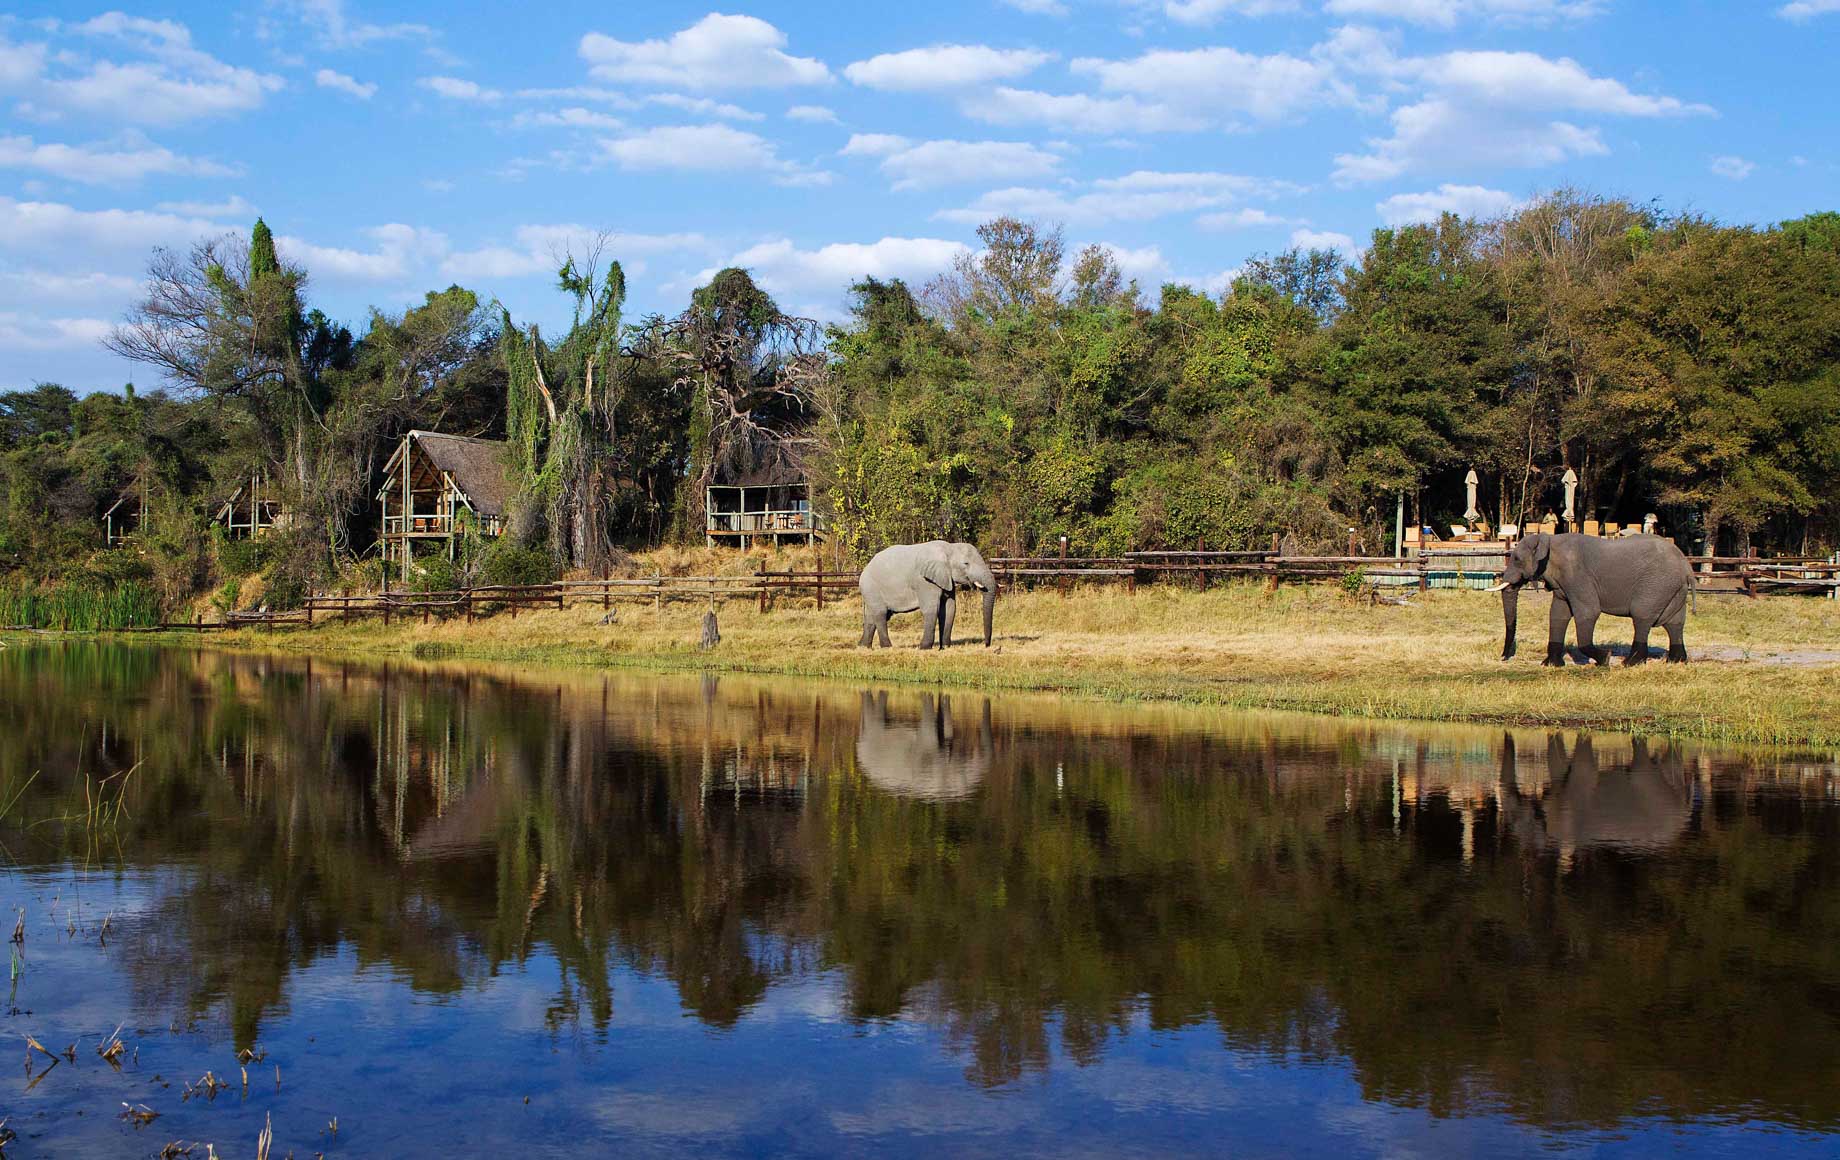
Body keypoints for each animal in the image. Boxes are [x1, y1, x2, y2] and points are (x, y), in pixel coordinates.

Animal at [857, 541, 993, 651]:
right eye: (966, 563)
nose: (986, 645)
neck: (949, 548)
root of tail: (865, 569)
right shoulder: (925, 581)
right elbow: (931, 609)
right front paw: (924, 648)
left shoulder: (946, 579)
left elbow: (949, 609)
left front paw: (945, 647)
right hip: (871, 587)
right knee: (880, 614)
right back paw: (887, 647)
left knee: (871, 617)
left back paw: (863, 647)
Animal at [1486, 533, 1685, 666]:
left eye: (1517, 559)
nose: (1503, 658)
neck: (1549, 540)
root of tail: (1686, 565)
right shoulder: (1562, 583)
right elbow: (1558, 614)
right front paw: (1550, 665)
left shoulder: (1577, 576)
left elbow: (1588, 612)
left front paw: (1604, 659)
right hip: (1671, 588)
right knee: (1674, 623)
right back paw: (1676, 661)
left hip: (1656, 584)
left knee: (1641, 616)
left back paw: (1629, 663)